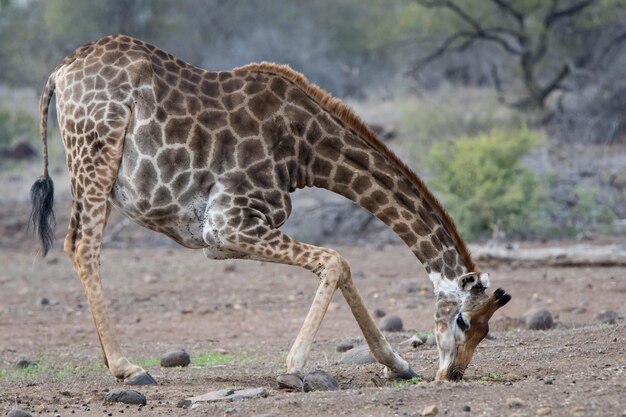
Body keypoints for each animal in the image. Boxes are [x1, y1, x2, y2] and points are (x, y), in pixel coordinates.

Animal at [28, 35, 508, 386]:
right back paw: (127, 367)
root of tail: (60, 72)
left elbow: (343, 266)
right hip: (96, 153)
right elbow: (335, 261)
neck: (306, 151)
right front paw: (293, 370)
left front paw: (399, 365)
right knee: (83, 245)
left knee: (75, 244)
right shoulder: (226, 225)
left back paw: (111, 359)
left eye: (487, 331)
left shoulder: (229, 234)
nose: (453, 374)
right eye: (464, 320)